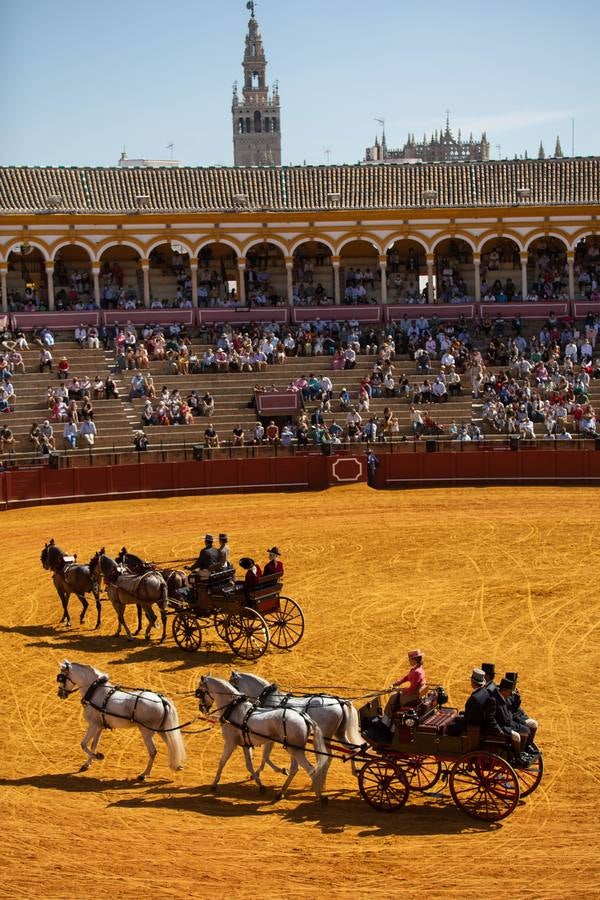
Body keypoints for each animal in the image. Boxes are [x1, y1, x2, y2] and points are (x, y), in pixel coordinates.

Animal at [58, 656, 188, 776]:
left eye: (61, 677)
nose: (60, 694)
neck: (95, 691)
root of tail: (161, 700)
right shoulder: (99, 726)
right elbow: (94, 744)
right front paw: (87, 763)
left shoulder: (93, 725)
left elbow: (84, 744)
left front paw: (98, 756)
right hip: (161, 730)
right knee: (171, 743)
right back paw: (177, 765)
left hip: (147, 732)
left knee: (153, 751)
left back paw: (144, 774)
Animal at [196, 676, 328, 800]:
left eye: (199, 692)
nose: (201, 708)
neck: (234, 709)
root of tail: (303, 716)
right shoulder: (245, 745)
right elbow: (249, 766)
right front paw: (260, 785)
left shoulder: (230, 743)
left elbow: (222, 762)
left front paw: (214, 784)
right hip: (293, 749)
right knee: (295, 769)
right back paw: (281, 793)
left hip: (295, 750)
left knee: (311, 769)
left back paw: (319, 795)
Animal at [229, 672, 360, 776]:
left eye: (231, 683)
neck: (272, 699)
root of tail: (340, 702)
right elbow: (265, 756)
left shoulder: (269, 736)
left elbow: (265, 756)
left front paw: (269, 771)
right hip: (339, 733)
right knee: (351, 749)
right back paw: (354, 771)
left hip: (326, 736)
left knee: (329, 756)